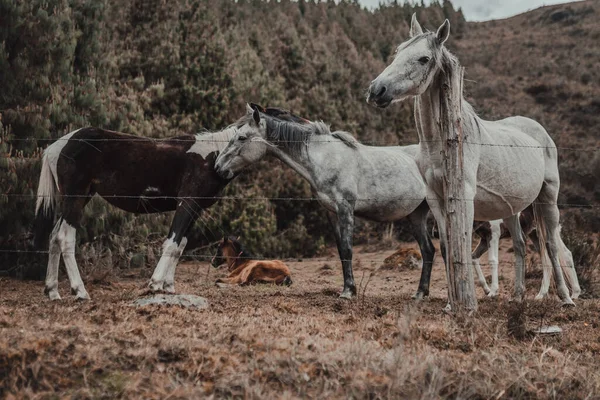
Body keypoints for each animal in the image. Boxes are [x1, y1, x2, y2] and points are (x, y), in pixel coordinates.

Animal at [34, 126, 237, 298]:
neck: (212, 155)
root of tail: (55, 147)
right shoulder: (187, 203)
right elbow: (172, 243)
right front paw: (156, 284)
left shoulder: (196, 209)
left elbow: (180, 245)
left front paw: (169, 287)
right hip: (75, 198)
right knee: (64, 237)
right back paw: (80, 291)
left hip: (81, 199)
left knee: (54, 236)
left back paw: (52, 291)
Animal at [213, 104, 434, 298]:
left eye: (241, 137)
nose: (218, 167)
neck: (326, 159)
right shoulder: (332, 213)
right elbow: (341, 250)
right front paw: (348, 289)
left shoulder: (345, 209)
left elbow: (348, 249)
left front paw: (348, 292)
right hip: (416, 215)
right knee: (428, 250)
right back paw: (420, 293)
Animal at [366, 14, 580, 304]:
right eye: (398, 52)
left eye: (423, 58)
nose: (377, 90)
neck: (442, 142)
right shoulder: (435, 198)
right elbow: (448, 247)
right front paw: (450, 303)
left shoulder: (464, 196)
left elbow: (464, 245)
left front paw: (467, 303)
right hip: (512, 209)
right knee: (521, 244)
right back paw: (517, 297)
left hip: (548, 197)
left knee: (551, 246)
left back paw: (565, 297)